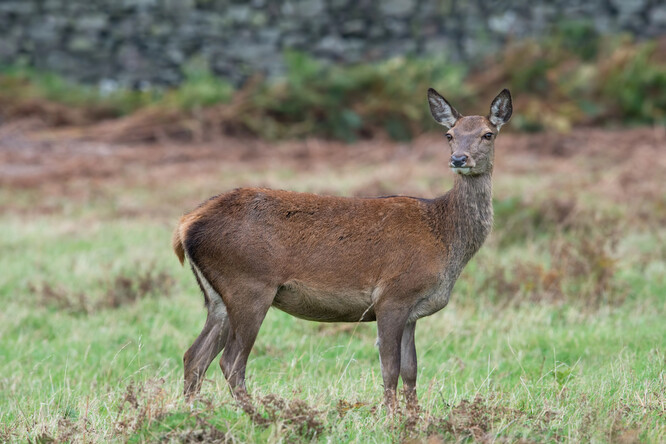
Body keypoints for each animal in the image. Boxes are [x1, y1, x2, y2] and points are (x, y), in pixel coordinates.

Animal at [172, 86, 512, 412]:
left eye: (487, 134)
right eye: (449, 135)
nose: (459, 159)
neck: (444, 238)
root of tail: (186, 224)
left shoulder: (412, 311)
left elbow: (411, 370)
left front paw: (414, 417)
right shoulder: (393, 295)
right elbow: (390, 369)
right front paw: (391, 418)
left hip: (217, 297)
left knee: (194, 356)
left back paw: (192, 412)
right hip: (249, 285)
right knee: (230, 361)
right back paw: (260, 416)